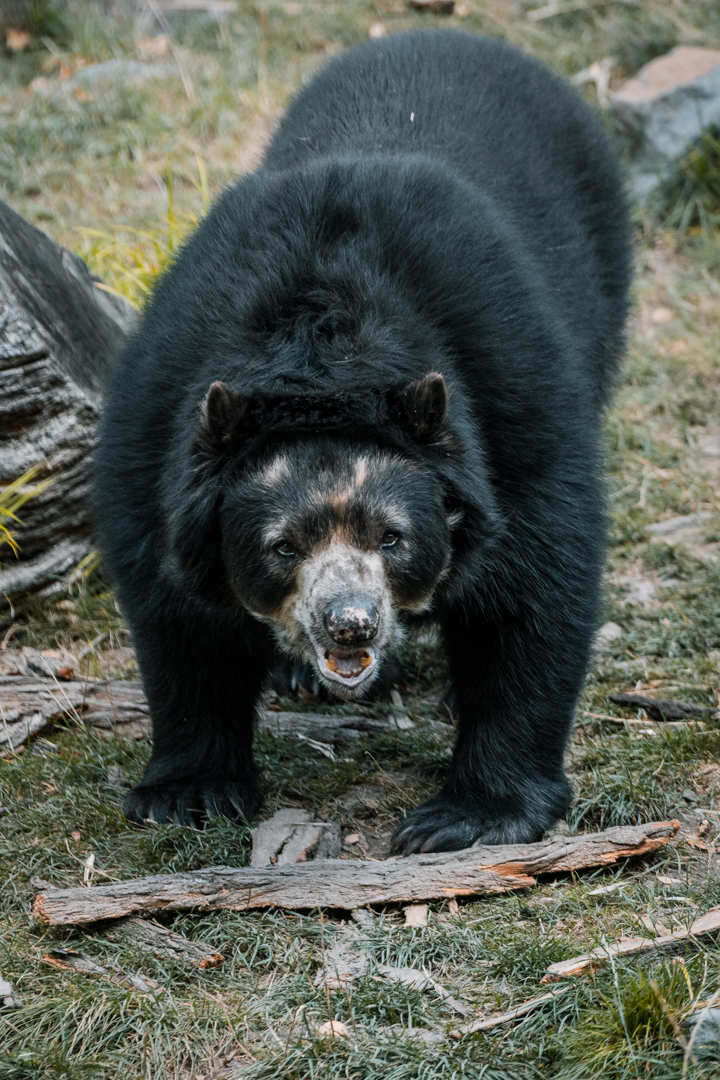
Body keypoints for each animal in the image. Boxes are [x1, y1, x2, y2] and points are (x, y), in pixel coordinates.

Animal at [94, 29, 631, 854]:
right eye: (283, 547)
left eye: (392, 537)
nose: (350, 622)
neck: (322, 361)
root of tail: (453, 34)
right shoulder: (157, 409)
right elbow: (177, 617)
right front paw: (191, 793)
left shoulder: (514, 397)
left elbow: (536, 588)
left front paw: (467, 816)